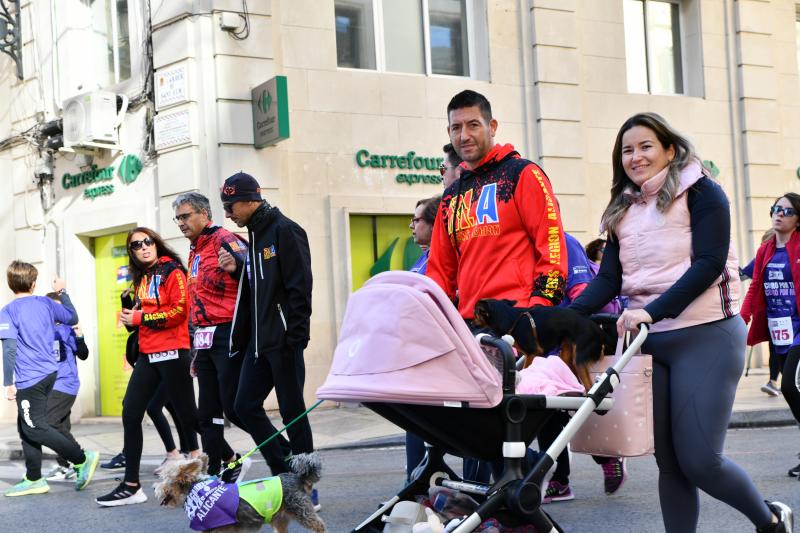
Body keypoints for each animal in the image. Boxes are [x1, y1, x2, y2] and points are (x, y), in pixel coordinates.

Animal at [155, 450, 326, 528]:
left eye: (164, 479)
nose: (155, 488)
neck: (199, 489)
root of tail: (297, 478)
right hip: (279, 517)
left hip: (302, 512)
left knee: (319, 526)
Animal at [472, 298, 604, 388]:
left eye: (476, 314)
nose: (472, 324)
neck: (510, 318)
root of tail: (598, 329)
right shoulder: (529, 354)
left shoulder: (533, 352)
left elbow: (525, 368)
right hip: (566, 355)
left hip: (579, 360)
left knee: (589, 386)